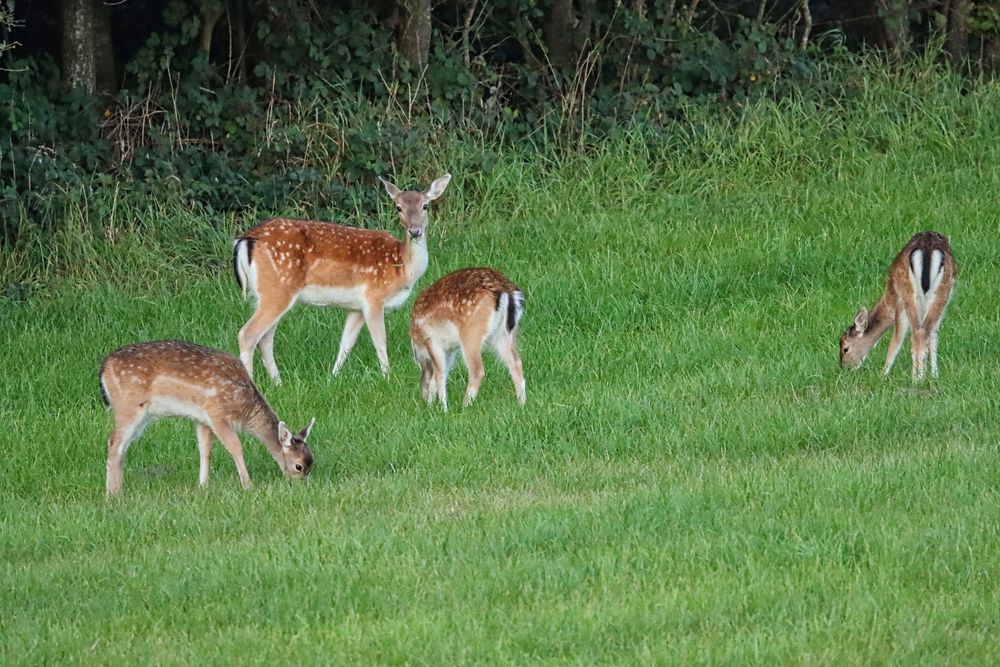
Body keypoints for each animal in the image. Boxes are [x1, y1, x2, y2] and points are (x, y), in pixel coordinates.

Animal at [98, 342, 314, 494]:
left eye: (311, 464)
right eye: (299, 466)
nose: (299, 486)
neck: (244, 408)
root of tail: (103, 369)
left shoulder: (202, 420)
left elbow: (205, 450)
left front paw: (203, 486)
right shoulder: (216, 413)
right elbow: (236, 447)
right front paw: (247, 485)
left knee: (122, 446)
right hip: (128, 406)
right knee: (114, 443)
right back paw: (113, 494)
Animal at [232, 172, 452, 384]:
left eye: (425, 206)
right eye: (398, 207)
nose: (415, 231)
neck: (402, 267)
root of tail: (245, 240)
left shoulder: (356, 308)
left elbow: (346, 343)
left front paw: (333, 377)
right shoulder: (373, 297)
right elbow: (380, 341)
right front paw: (388, 378)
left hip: (269, 293)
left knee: (265, 339)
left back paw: (279, 382)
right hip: (277, 289)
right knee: (247, 334)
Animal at [410, 268, 528, 412]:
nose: (424, 399)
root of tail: (505, 290)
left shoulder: (432, 340)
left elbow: (439, 374)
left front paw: (443, 409)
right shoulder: (450, 351)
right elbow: (441, 373)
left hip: (471, 333)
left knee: (477, 370)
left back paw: (464, 407)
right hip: (504, 334)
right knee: (516, 363)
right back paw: (521, 404)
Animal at [840, 231, 956, 380]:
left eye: (845, 348)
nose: (844, 368)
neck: (888, 298)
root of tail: (928, 251)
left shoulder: (899, 302)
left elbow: (896, 340)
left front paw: (883, 375)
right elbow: (933, 334)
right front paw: (934, 374)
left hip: (908, 294)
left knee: (917, 334)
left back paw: (916, 379)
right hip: (942, 293)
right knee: (925, 332)